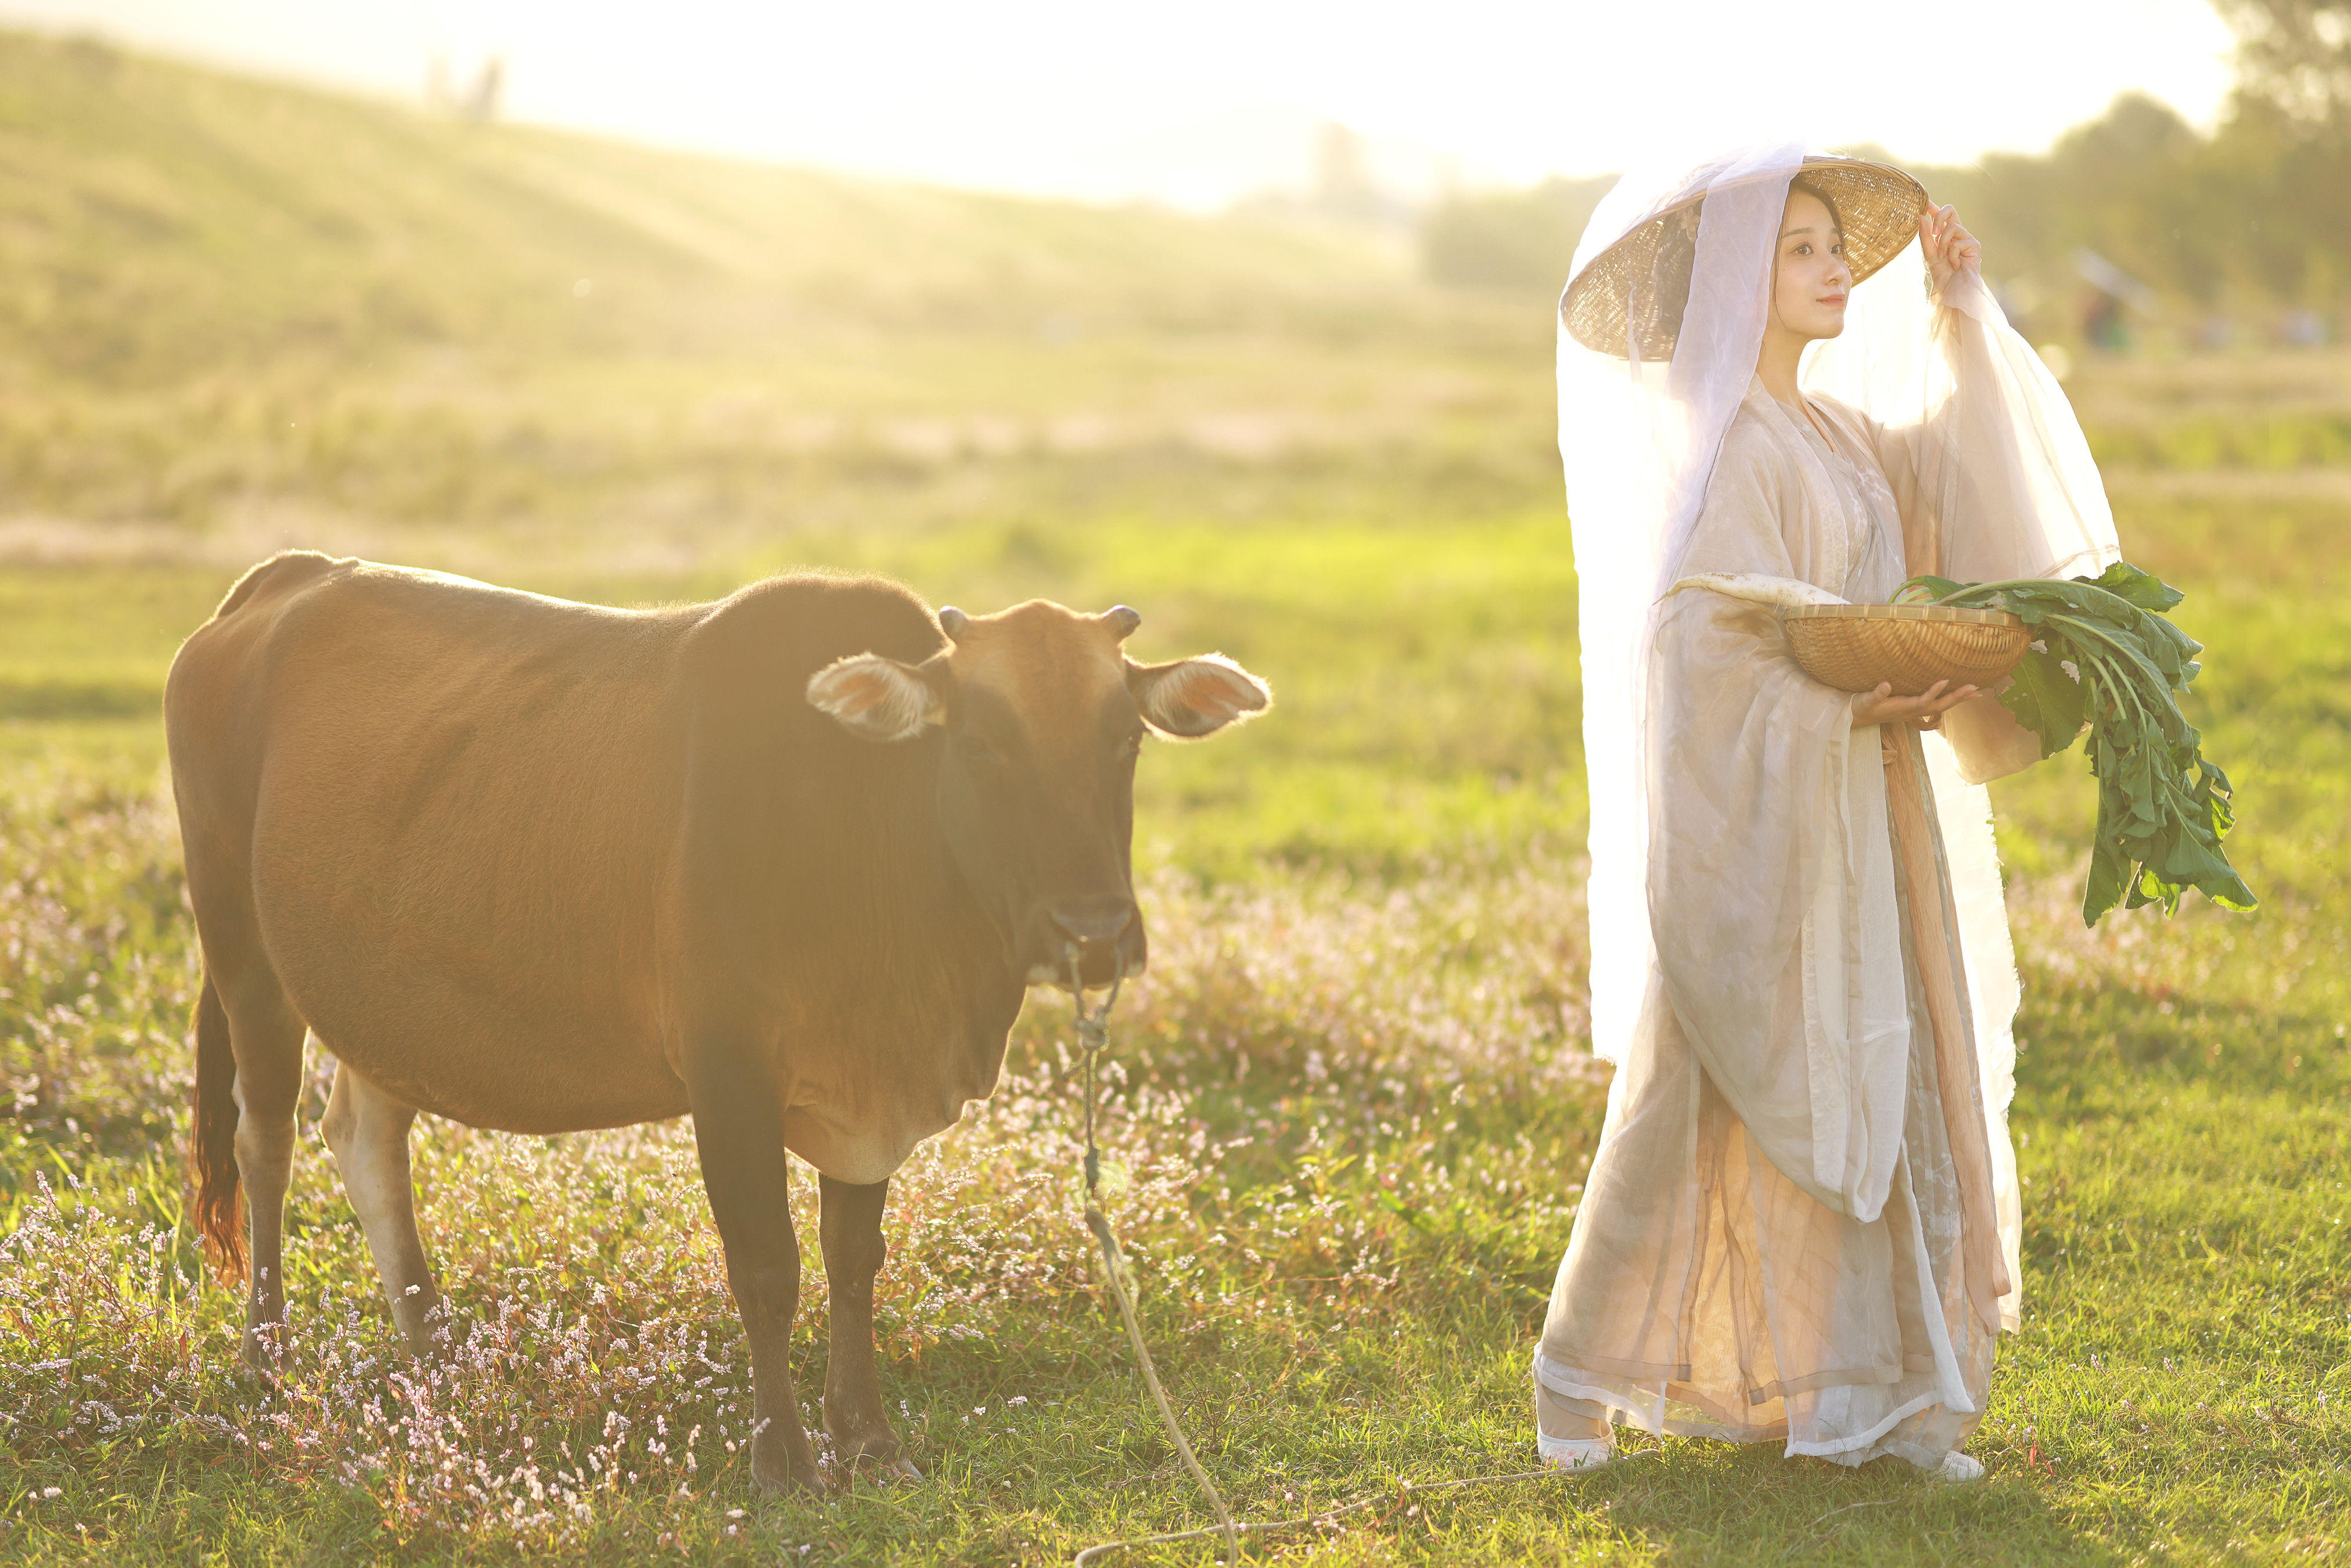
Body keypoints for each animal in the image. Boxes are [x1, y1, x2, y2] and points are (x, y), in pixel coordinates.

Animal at [166, 555, 1269, 1495]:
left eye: (1124, 739)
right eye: (979, 741)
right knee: (266, 1143)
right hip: (242, 950)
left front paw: (868, 1442)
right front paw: (783, 1461)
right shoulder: (728, 1075)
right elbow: (768, 1268)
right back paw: (267, 1359)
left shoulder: (865, 1094)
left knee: (367, 1141)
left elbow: (852, 1264)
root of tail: (287, 580)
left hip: (375, 993)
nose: (1093, 935)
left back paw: (437, 1353)